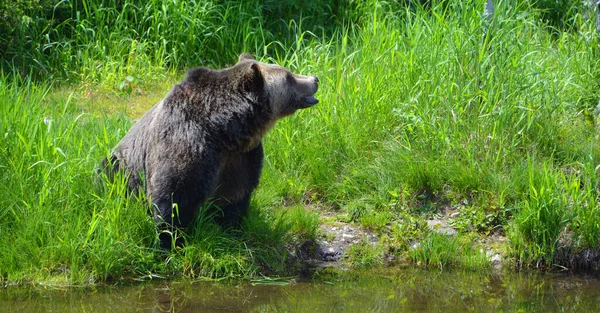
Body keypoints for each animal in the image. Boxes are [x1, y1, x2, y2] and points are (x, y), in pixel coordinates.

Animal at [103, 53, 318, 249]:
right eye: (289, 76)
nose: (315, 78)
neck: (224, 130)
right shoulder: (186, 139)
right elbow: (172, 194)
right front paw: (170, 240)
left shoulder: (242, 157)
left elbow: (235, 194)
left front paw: (231, 229)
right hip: (120, 168)